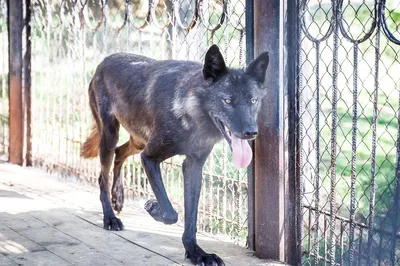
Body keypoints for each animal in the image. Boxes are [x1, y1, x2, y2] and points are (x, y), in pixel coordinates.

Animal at [81, 44, 268, 264]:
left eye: (253, 100)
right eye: (228, 100)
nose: (251, 132)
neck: (191, 112)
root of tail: (104, 61)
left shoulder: (193, 166)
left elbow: (191, 218)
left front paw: (196, 252)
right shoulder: (149, 158)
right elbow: (171, 213)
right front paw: (154, 208)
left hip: (138, 141)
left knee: (120, 153)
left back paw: (118, 197)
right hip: (111, 136)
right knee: (103, 176)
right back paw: (110, 217)